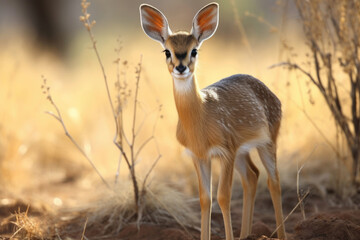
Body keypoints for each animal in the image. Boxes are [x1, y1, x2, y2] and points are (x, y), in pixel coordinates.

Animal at [140, 2, 286, 240]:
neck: (200, 119)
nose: (181, 67)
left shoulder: (225, 152)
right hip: (242, 152)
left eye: (194, 50)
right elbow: (205, 199)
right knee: (252, 176)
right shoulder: (199, 156)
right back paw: (246, 234)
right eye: (167, 51)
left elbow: (223, 197)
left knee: (273, 181)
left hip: (267, 142)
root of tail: (274, 96)